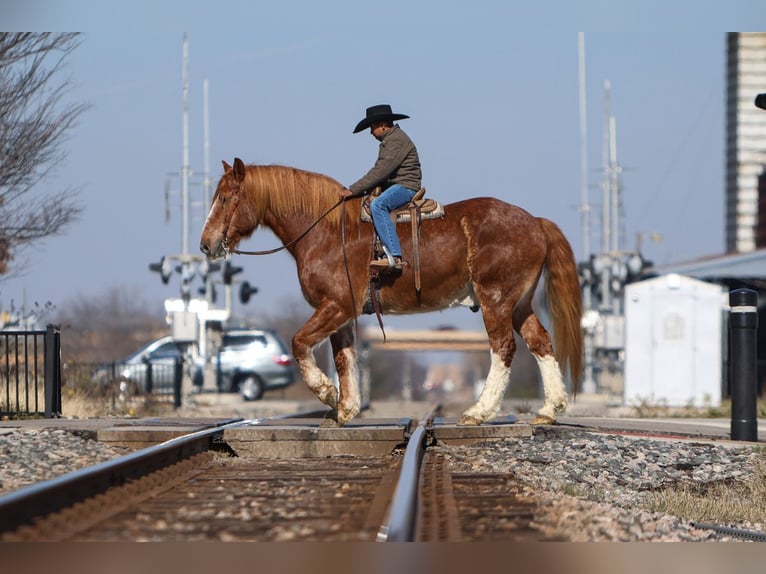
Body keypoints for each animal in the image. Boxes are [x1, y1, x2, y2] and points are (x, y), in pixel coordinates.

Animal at [201, 158, 584, 428]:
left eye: (227, 197)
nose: (206, 244)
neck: (326, 232)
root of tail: (535, 222)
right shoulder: (342, 313)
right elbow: (344, 358)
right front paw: (346, 408)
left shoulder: (335, 306)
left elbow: (299, 343)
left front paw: (327, 393)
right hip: (519, 304)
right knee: (540, 343)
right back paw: (549, 409)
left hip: (497, 301)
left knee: (503, 348)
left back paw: (480, 411)